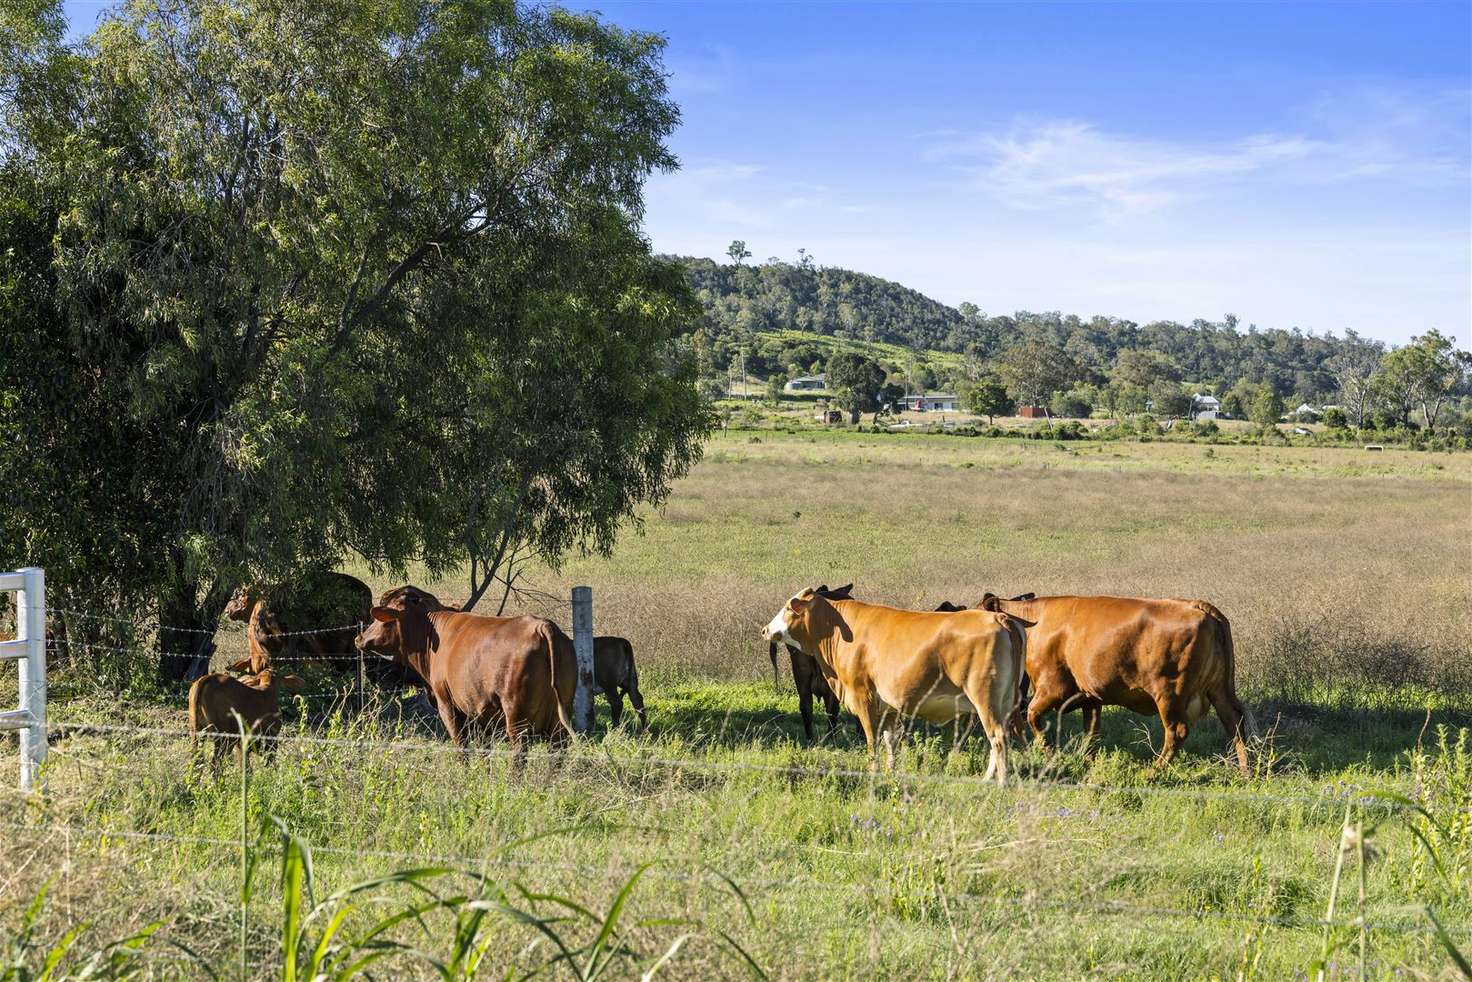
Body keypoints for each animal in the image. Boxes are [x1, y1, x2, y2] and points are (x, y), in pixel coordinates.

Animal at [353, 583, 577, 753]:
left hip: (516, 716)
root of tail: (541, 626)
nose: (359, 637)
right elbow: (484, 750)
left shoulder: (448, 706)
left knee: (519, 752)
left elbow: (462, 746)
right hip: (559, 720)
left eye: (379, 619)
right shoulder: (480, 714)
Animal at [977, 591, 1254, 777]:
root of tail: (1199, 606)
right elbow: (1091, 733)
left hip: (1170, 693)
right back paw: (1246, 772)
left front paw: (1050, 756)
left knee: (1177, 732)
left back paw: (1153, 772)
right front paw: (1087, 763)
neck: (1034, 623)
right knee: (1234, 722)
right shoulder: (1090, 698)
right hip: (1220, 689)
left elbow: (1033, 718)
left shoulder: (1051, 689)